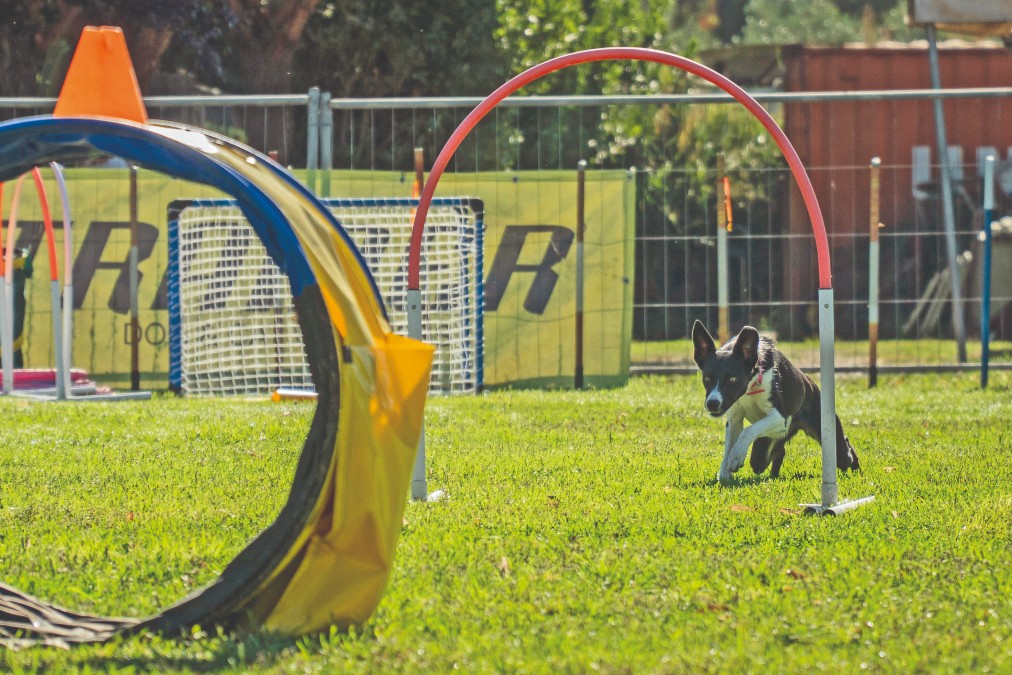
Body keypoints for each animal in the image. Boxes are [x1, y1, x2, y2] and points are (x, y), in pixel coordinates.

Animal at [688, 321, 862, 485]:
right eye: (707, 378)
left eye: (732, 379)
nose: (712, 403)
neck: (751, 386)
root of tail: (811, 383)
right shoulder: (734, 419)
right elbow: (729, 447)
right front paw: (724, 473)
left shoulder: (780, 417)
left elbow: (748, 431)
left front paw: (736, 456)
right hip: (770, 442)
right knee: (770, 456)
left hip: (826, 435)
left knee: (845, 450)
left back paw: (856, 469)